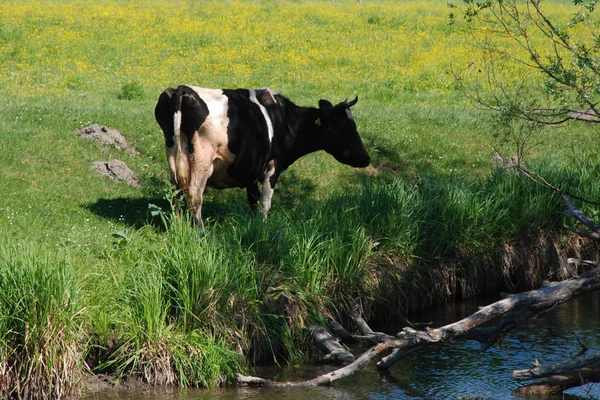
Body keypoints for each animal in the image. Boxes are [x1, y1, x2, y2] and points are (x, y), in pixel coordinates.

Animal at [155, 85, 370, 227]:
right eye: (346, 127)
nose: (366, 158)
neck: (284, 120)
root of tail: (183, 90)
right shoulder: (273, 166)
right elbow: (265, 203)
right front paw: (264, 227)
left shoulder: (251, 168)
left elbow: (254, 200)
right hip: (201, 160)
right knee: (194, 195)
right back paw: (200, 232)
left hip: (174, 156)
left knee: (175, 193)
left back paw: (178, 227)